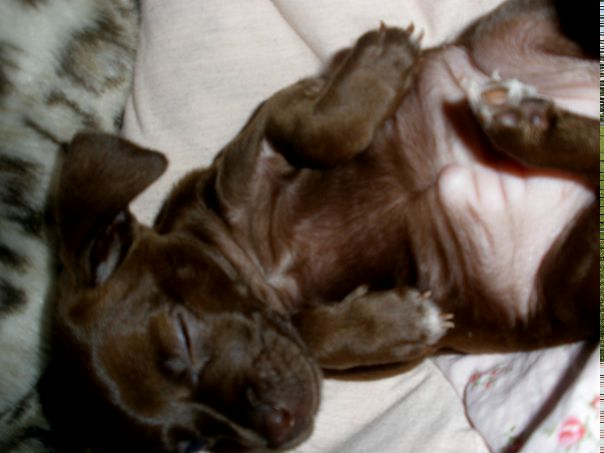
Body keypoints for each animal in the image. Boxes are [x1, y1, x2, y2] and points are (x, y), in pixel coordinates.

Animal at [43, 0, 597, 451]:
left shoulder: (265, 127)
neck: (261, 267)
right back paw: (519, 120)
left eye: (183, 336)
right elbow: (312, 332)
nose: (279, 430)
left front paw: (381, 63)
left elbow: (314, 133)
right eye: (197, 447)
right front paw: (391, 323)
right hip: (569, 285)